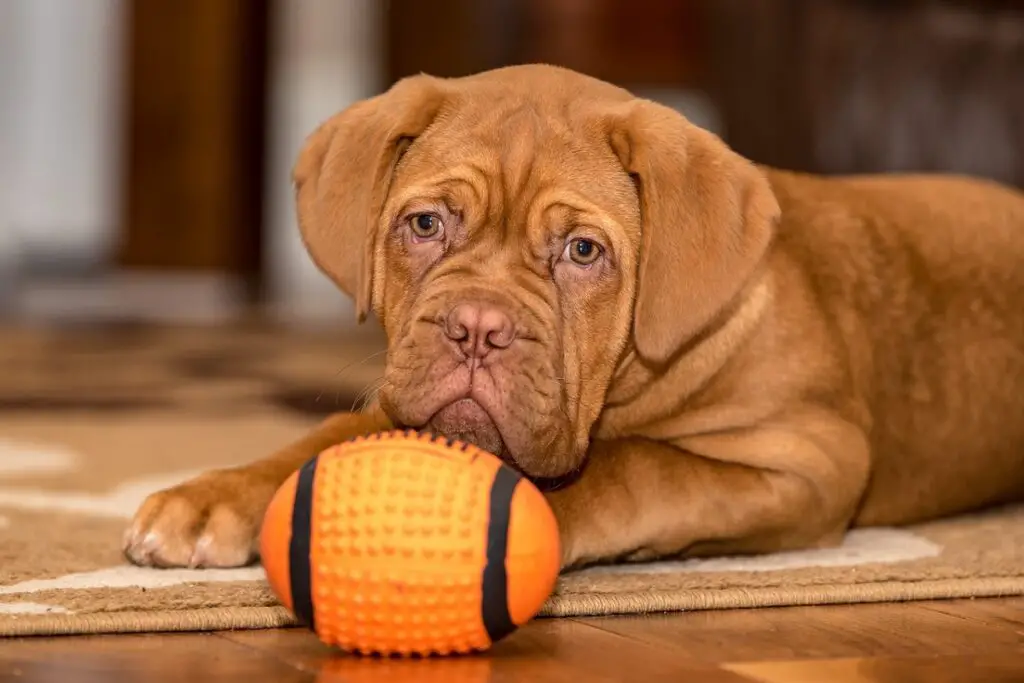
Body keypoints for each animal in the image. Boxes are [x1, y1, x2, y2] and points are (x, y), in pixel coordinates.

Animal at [125, 65, 1024, 573]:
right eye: (426, 224)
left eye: (583, 250)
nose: (476, 327)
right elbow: (321, 440)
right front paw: (216, 497)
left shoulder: (809, 458)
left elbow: (637, 466)